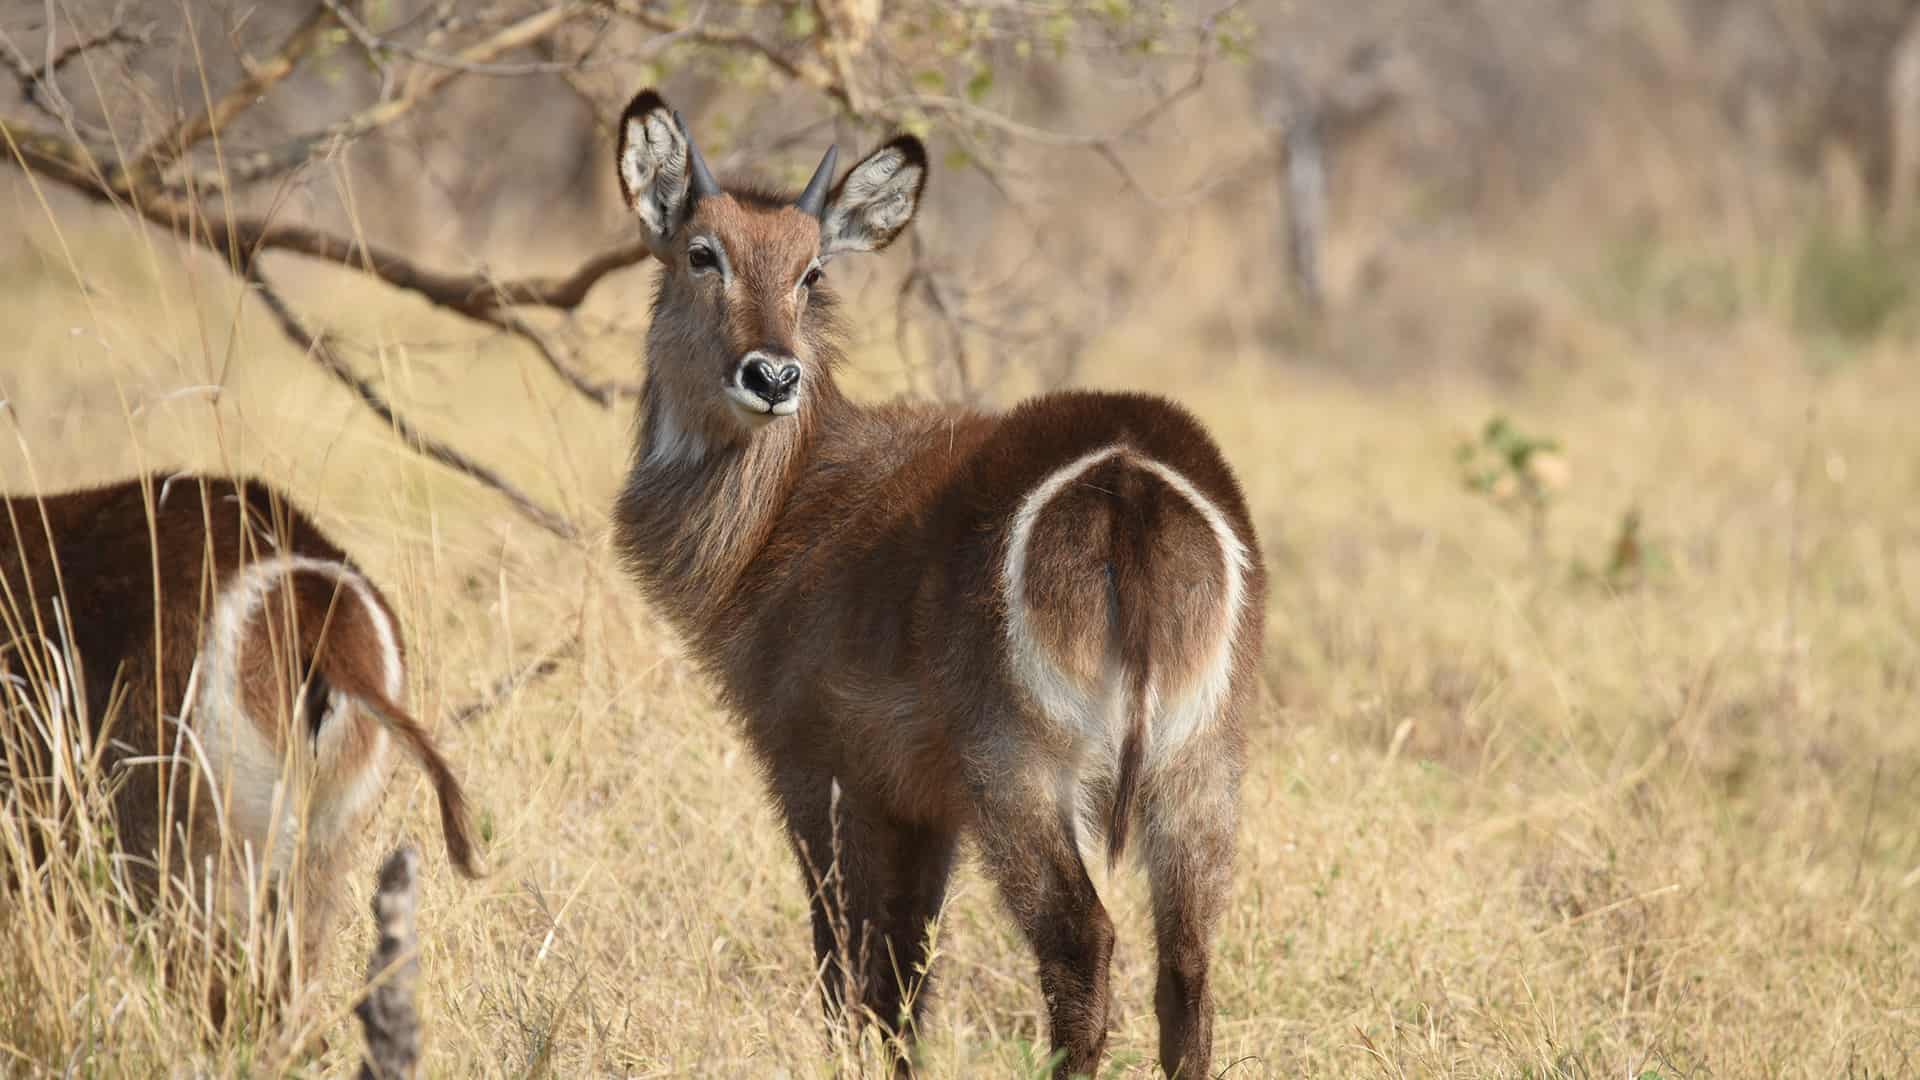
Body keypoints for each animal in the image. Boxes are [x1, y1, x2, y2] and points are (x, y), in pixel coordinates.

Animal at [614, 88, 1267, 1068]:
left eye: (811, 272)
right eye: (703, 253)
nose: (772, 374)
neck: (788, 505)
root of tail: (1130, 476)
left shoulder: (816, 763)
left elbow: (849, 960)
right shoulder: (924, 802)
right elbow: (908, 974)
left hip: (1021, 766)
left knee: (1083, 944)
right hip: (1201, 765)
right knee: (1187, 966)